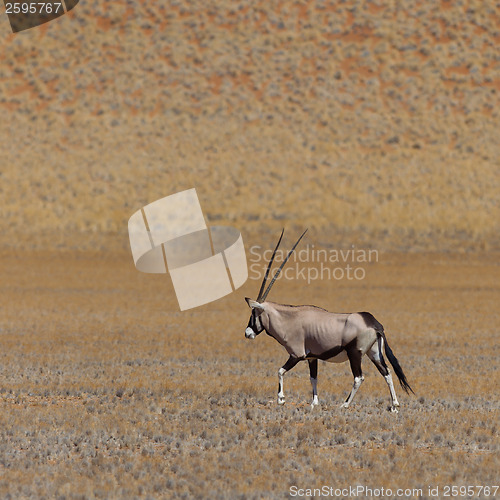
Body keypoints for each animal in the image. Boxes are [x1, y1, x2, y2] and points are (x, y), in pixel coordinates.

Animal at [244, 229, 412, 410]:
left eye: (254, 313)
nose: (247, 333)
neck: (289, 319)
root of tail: (374, 324)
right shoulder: (312, 357)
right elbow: (313, 378)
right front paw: (314, 402)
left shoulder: (296, 354)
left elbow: (280, 371)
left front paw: (281, 398)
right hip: (373, 353)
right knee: (386, 372)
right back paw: (394, 405)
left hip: (355, 353)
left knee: (359, 377)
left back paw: (345, 404)